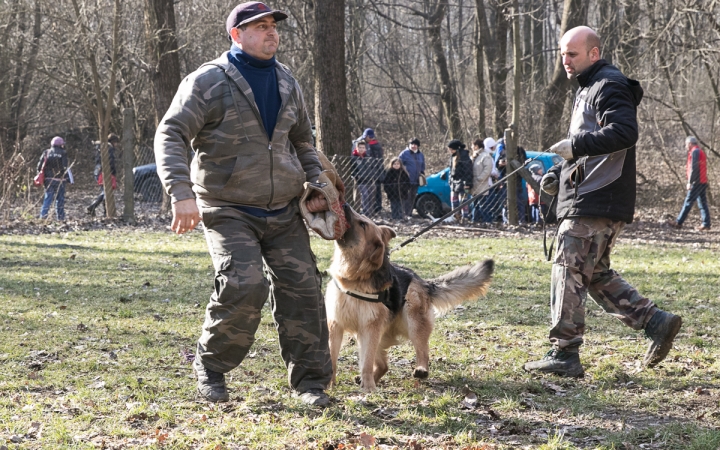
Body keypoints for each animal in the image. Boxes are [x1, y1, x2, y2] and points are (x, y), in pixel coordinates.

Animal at [328, 206, 492, 392]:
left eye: (363, 224)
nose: (345, 205)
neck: (354, 277)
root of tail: (423, 282)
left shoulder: (370, 329)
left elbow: (367, 363)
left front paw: (369, 389)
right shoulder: (336, 325)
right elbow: (332, 358)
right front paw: (329, 384)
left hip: (412, 322)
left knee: (422, 350)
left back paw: (421, 369)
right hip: (374, 335)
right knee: (384, 365)